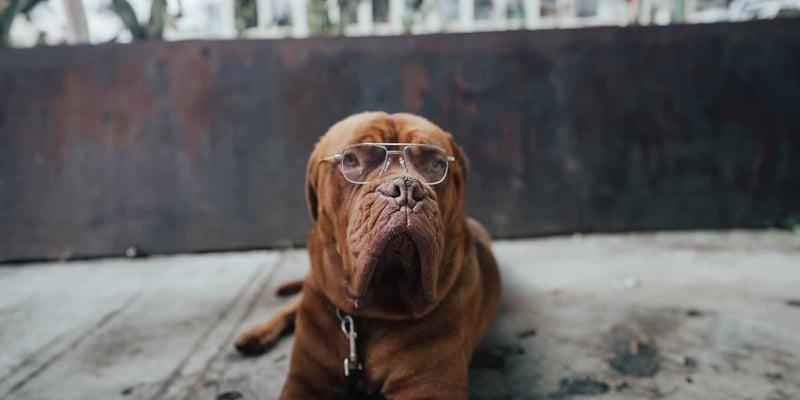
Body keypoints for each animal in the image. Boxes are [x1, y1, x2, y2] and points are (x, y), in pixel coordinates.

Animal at [234, 111, 504, 398]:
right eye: (352, 159)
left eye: (436, 163)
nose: (406, 189)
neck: (377, 314)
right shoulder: (303, 381)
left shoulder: (430, 386)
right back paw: (255, 334)